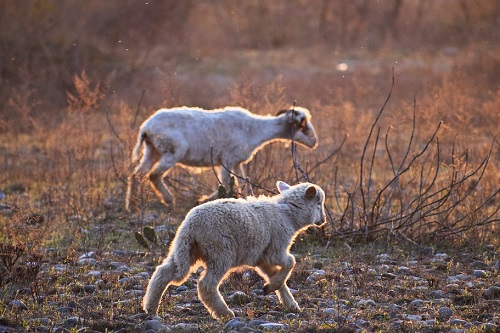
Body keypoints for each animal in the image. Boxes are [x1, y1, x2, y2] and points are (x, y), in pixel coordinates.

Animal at [124, 106, 316, 210]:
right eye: (302, 126)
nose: (314, 142)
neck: (257, 129)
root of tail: (145, 128)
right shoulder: (227, 160)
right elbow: (224, 184)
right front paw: (205, 199)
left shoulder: (237, 162)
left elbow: (242, 183)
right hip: (171, 152)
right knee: (153, 175)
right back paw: (168, 199)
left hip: (152, 151)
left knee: (137, 175)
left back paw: (131, 206)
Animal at [143, 182, 326, 320]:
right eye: (319, 203)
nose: (323, 220)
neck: (288, 214)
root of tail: (190, 225)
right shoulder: (275, 248)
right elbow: (291, 262)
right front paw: (275, 290)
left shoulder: (261, 257)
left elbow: (276, 278)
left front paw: (282, 297)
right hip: (220, 251)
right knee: (206, 284)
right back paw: (225, 313)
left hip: (186, 249)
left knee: (163, 272)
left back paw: (150, 308)